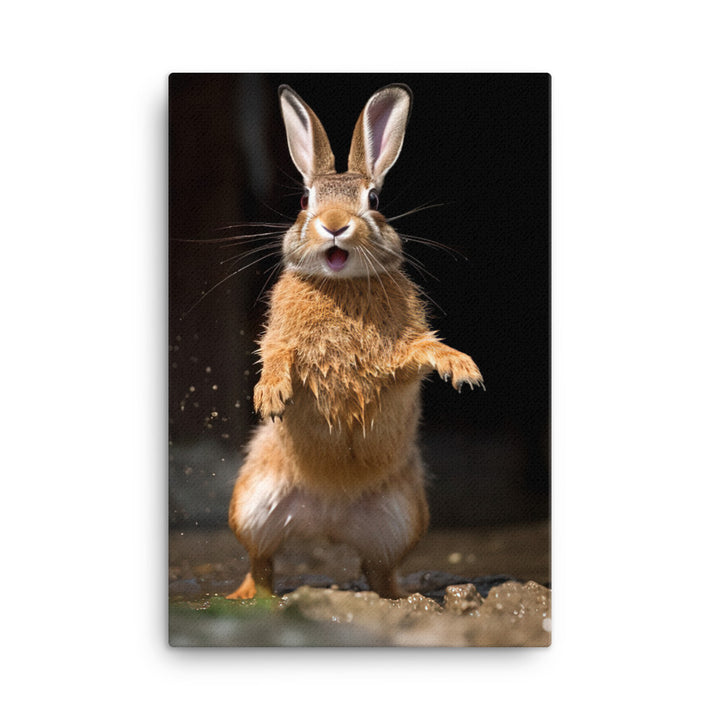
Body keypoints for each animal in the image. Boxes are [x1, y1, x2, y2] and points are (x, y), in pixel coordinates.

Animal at [226, 83, 483, 600]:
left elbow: (419, 351)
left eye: (374, 197)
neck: (340, 283)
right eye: (304, 199)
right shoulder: (280, 338)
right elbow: (277, 354)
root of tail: (328, 516)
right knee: (261, 563)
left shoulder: (398, 356)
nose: (334, 224)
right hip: (252, 504)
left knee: (378, 570)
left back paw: (403, 599)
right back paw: (244, 596)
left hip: (401, 518)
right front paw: (272, 394)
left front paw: (461, 367)